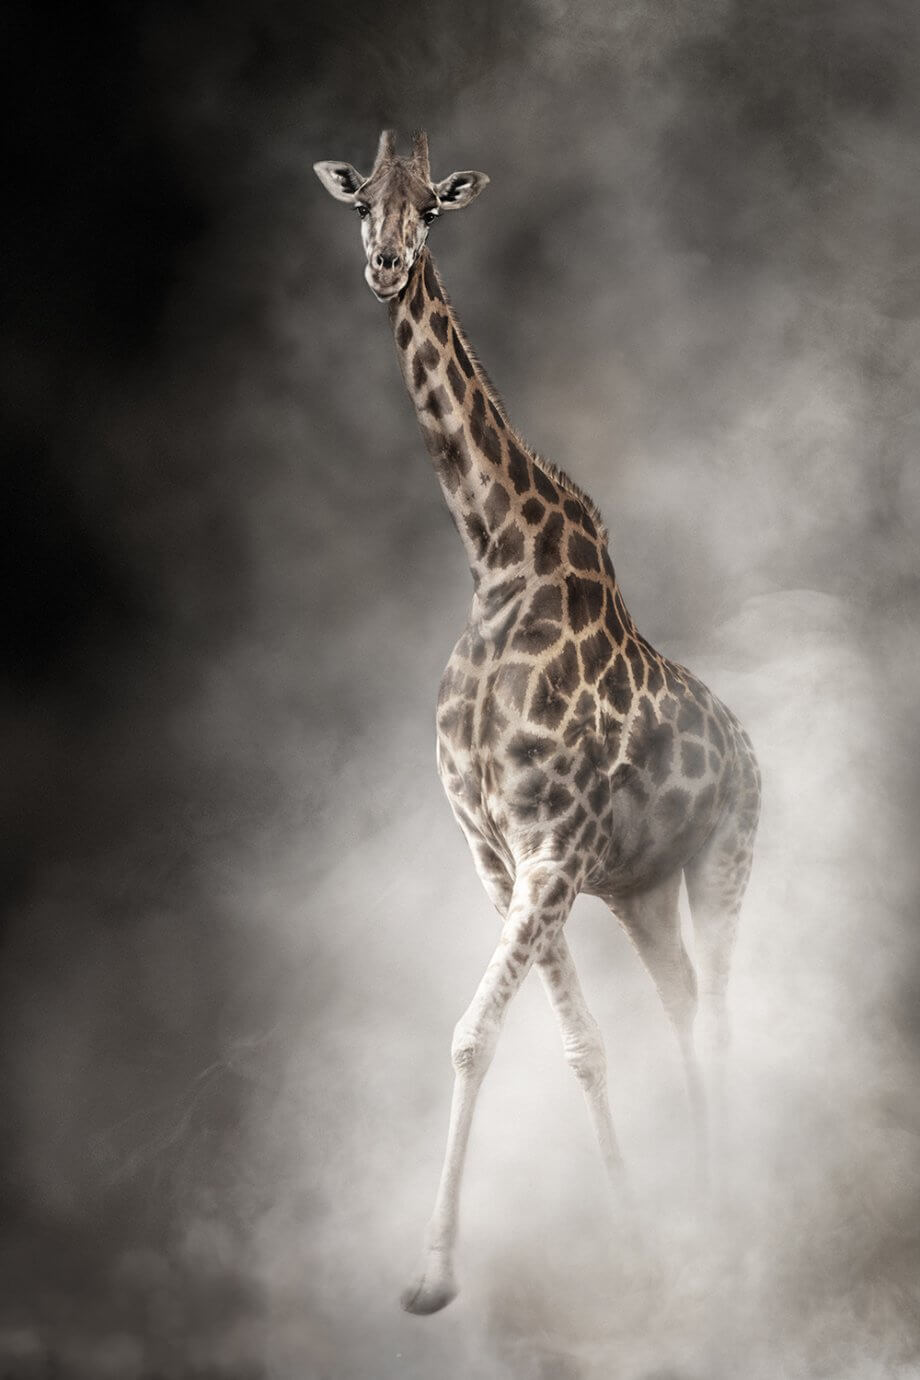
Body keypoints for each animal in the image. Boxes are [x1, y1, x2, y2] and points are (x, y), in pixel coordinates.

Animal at [314, 130, 761, 1316]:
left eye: (431, 205)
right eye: (360, 202)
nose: (384, 264)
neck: (498, 556)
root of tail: (747, 747)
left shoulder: (549, 845)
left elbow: (473, 1035)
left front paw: (431, 1276)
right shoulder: (497, 853)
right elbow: (580, 1045)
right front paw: (633, 1240)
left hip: (724, 860)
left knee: (718, 1014)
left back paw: (737, 1221)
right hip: (641, 893)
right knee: (680, 1009)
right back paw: (702, 1206)